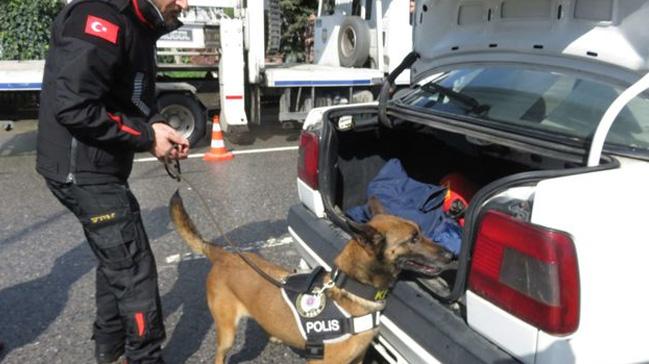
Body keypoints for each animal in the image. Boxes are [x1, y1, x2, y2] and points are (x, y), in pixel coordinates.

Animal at [168, 192, 450, 362]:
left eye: (421, 232)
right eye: (413, 239)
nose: (450, 255)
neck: (351, 288)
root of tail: (224, 254)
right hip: (227, 333)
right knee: (220, 354)